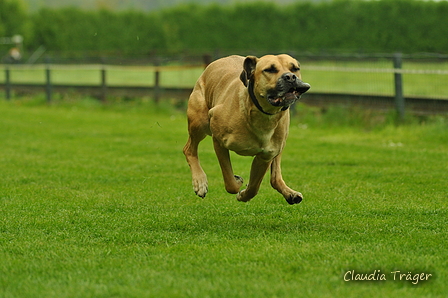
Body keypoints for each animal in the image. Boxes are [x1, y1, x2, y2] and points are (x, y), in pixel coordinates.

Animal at [184, 54, 310, 205]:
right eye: (270, 70)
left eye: (295, 68)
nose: (290, 77)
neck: (263, 114)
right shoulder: (219, 142)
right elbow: (230, 182)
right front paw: (238, 183)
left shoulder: (265, 157)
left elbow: (254, 186)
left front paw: (244, 195)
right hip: (199, 122)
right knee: (189, 149)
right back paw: (200, 182)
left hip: (281, 144)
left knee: (275, 177)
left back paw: (290, 193)